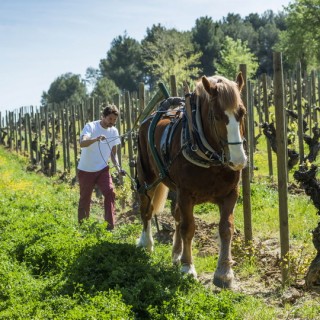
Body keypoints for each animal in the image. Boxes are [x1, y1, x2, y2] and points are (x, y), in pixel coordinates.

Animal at [135, 74, 248, 288]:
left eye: (242, 113)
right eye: (216, 115)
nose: (238, 160)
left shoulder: (231, 194)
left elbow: (226, 228)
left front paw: (224, 273)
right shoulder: (186, 194)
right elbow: (189, 228)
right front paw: (188, 268)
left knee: (177, 216)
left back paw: (176, 253)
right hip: (147, 176)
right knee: (146, 208)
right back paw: (146, 243)